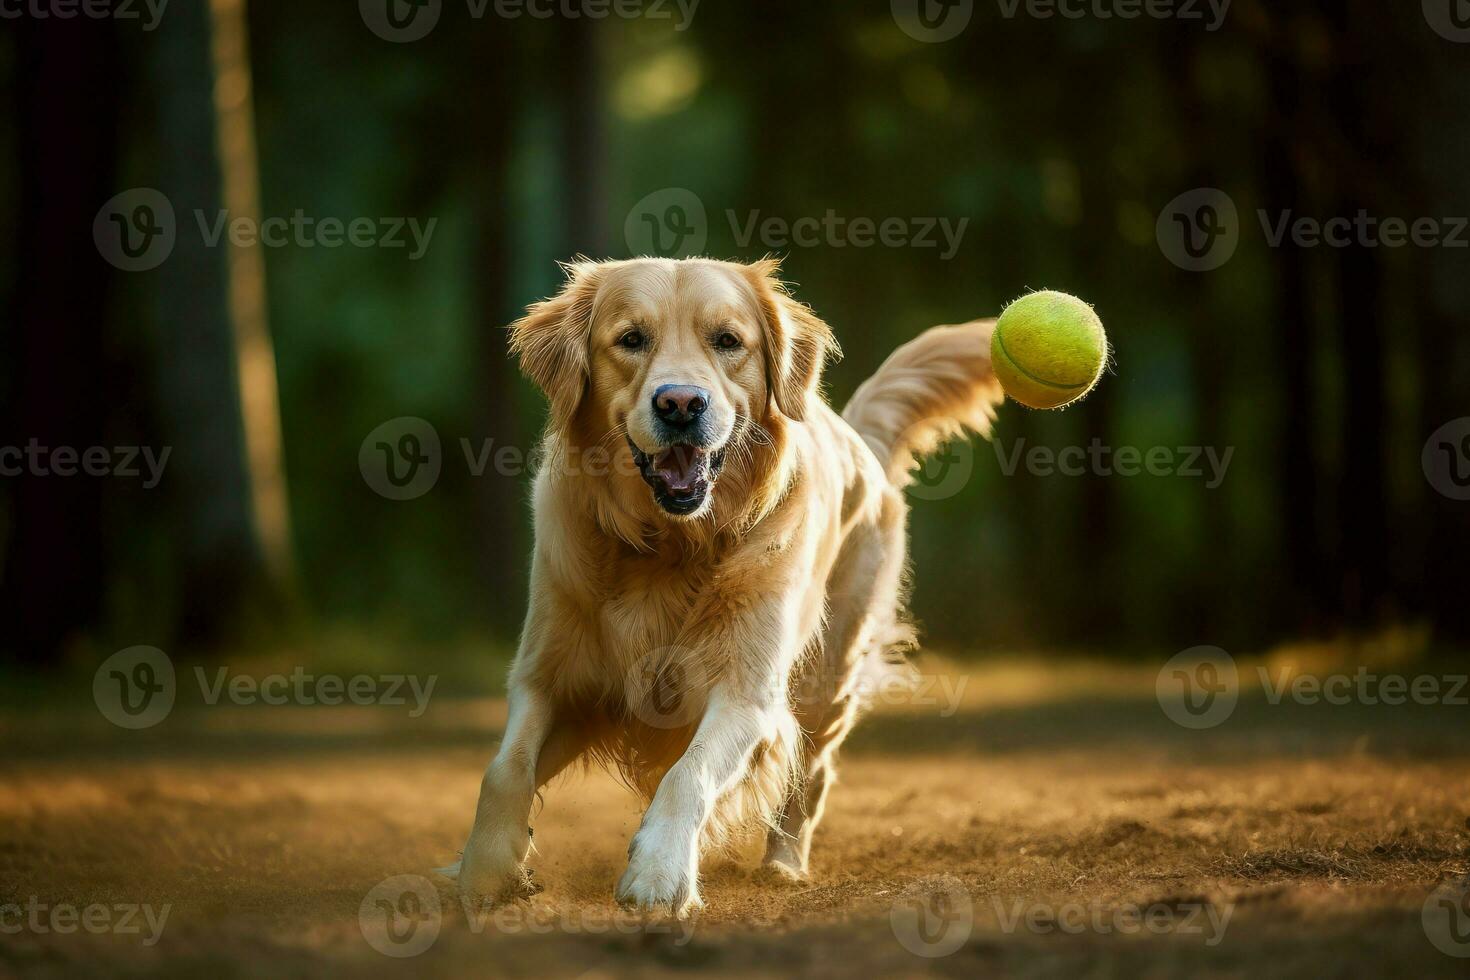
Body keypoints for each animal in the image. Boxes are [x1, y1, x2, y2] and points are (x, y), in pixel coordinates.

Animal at [441, 257, 1005, 916]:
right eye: (631, 339)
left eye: (728, 341)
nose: (681, 403)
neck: (670, 545)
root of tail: (853, 433)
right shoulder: (550, 679)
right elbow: (504, 768)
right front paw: (485, 870)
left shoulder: (744, 693)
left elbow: (690, 773)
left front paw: (659, 873)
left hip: (828, 676)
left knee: (810, 773)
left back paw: (784, 866)